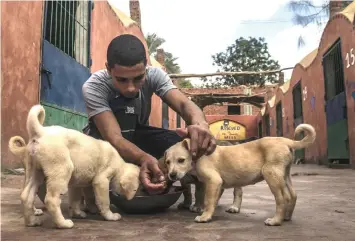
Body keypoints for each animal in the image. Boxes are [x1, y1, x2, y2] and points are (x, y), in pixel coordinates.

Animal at [13, 104, 142, 229]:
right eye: (136, 189)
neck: (120, 165)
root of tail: (41, 132)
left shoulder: (78, 183)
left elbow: (77, 199)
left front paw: (78, 213)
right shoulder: (101, 181)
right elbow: (104, 201)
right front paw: (110, 216)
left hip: (35, 172)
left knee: (26, 196)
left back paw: (32, 222)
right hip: (62, 169)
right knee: (51, 200)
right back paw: (63, 224)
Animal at [164, 124, 318, 226]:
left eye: (181, 160)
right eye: (167, 162)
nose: (172, 175)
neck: (198, 157)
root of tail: (285, 140)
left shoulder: (213, 181)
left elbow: (208, 200)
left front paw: (204, 216)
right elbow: (211, 199)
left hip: (271, 174)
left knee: (282, 198)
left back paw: (276, 220)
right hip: (284, 175)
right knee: (293, 195)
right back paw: (287, 217)